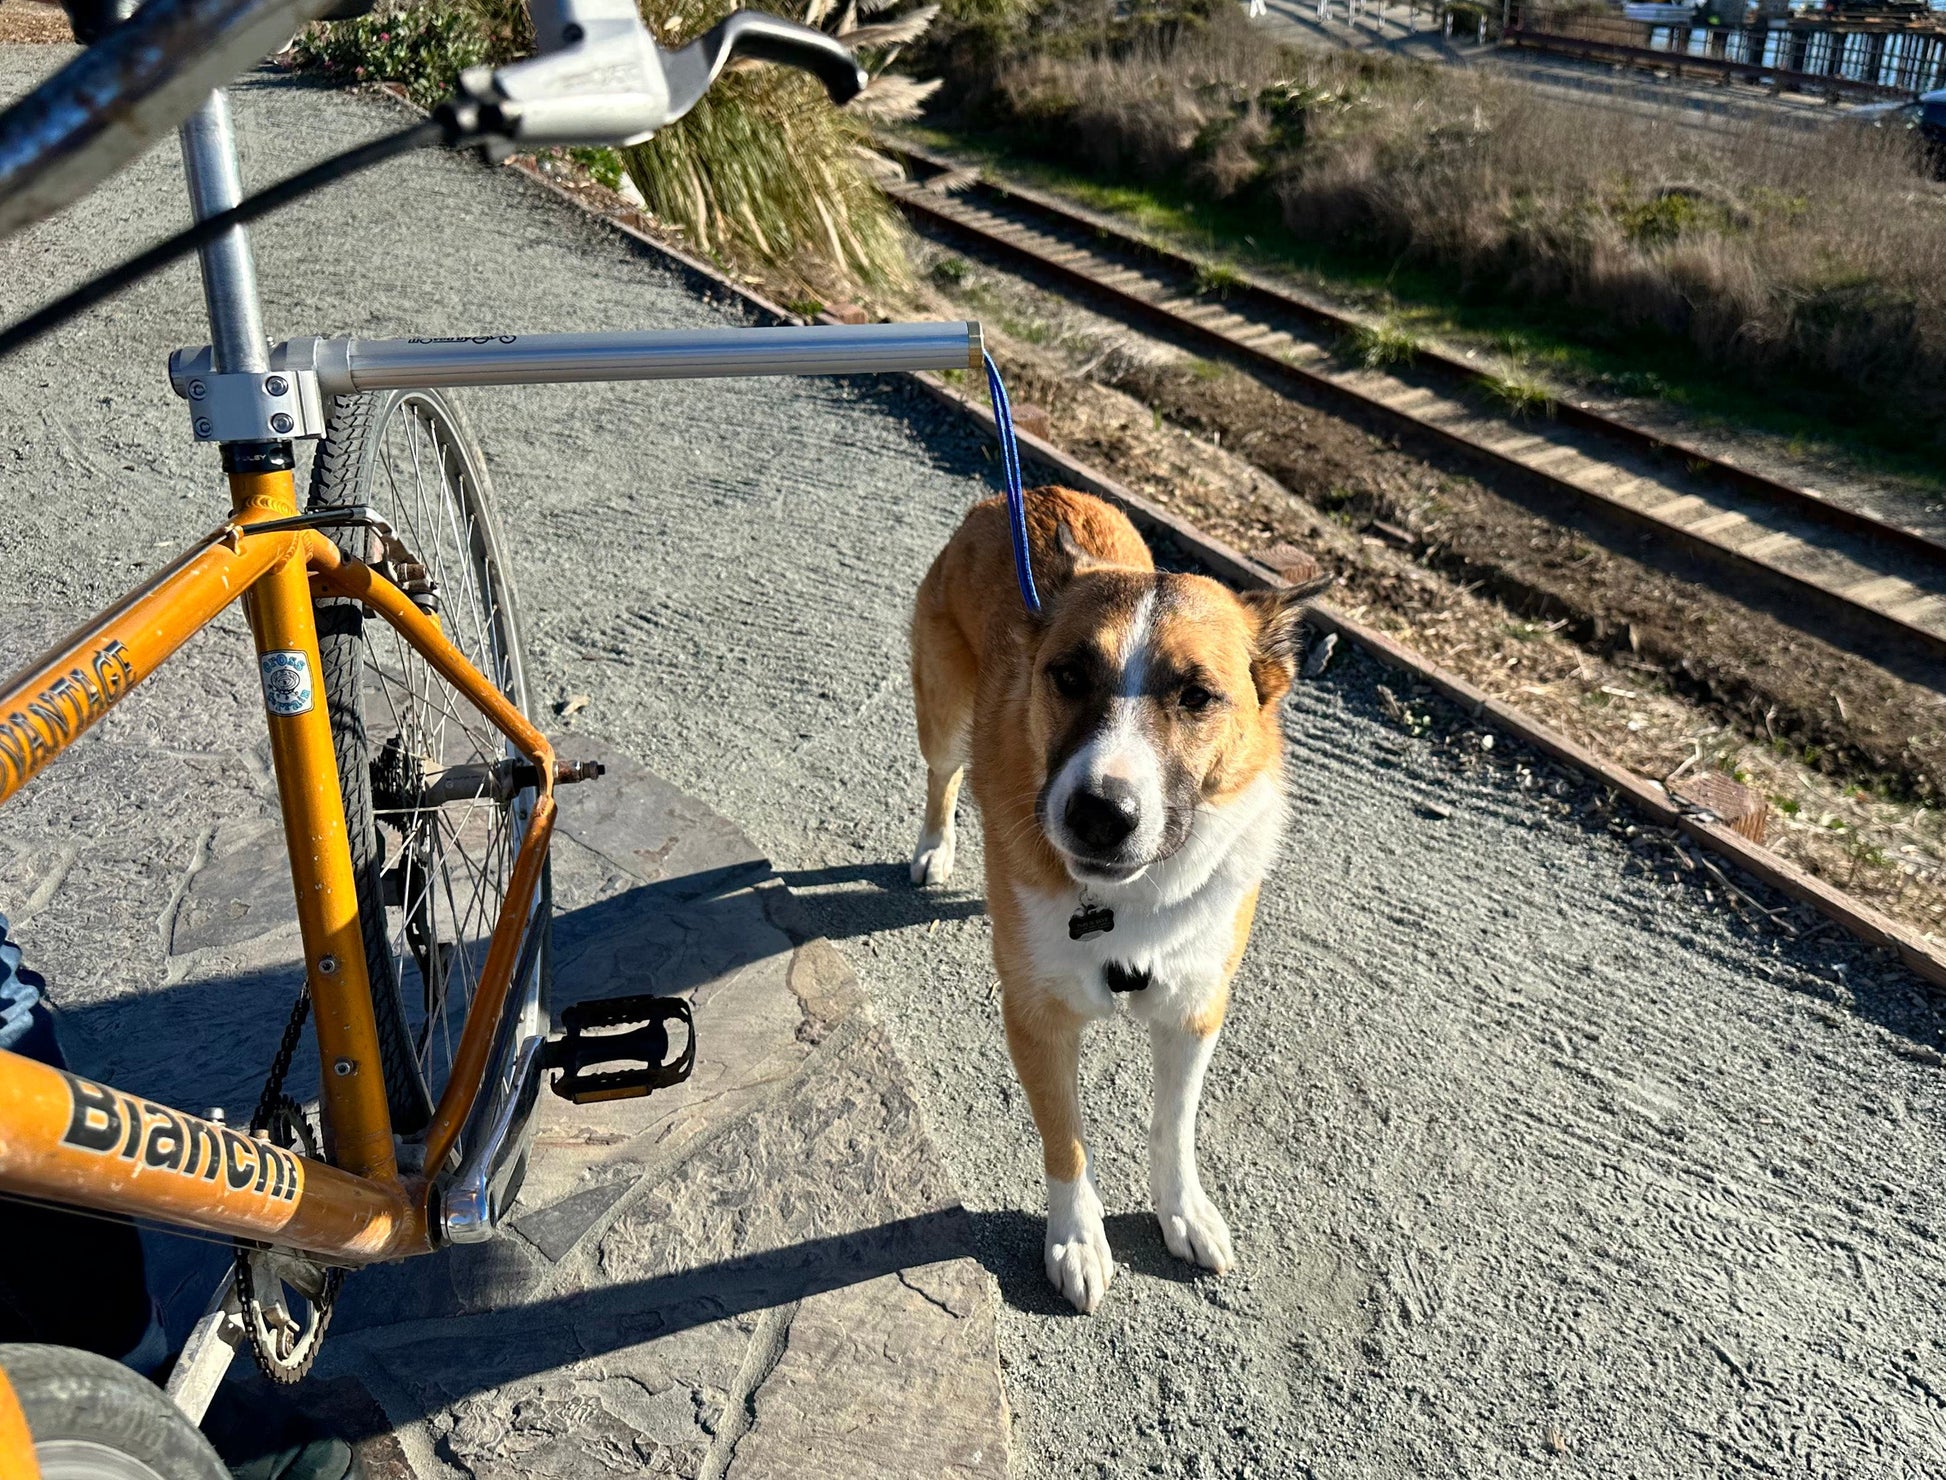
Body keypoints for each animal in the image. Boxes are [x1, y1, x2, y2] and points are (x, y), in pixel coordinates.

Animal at [908, 485, 1327, 1312]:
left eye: (1198, 695)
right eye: (1069, 675)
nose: (1100, 814)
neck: (1128, 896)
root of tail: (1023, 493)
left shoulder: (1195, 1009)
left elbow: (1174, 1126)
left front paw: (1183, 1210)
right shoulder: (1035, 1020)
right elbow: (1065, 1141)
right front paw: (1076, 1239)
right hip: (941, 711)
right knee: (944, 776)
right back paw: (937, 846)